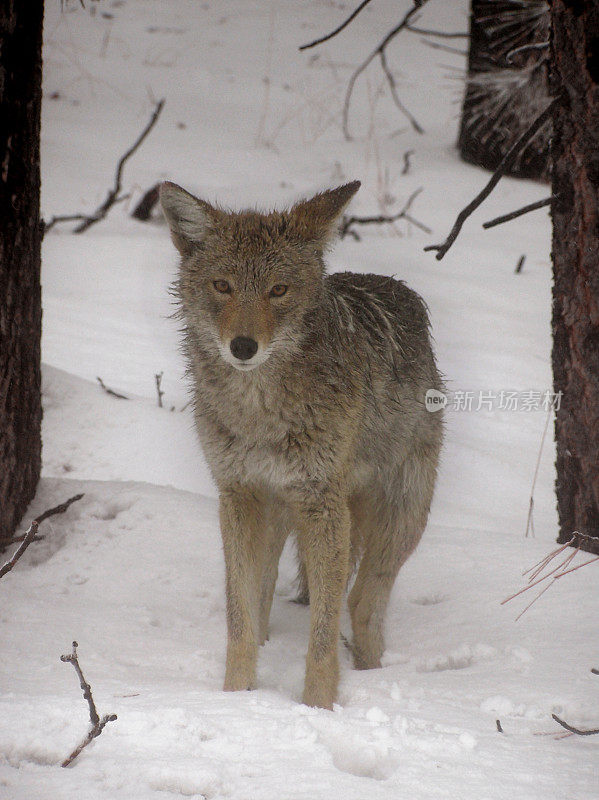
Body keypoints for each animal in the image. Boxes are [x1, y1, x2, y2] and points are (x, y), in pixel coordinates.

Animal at [162, 180, 442, 708]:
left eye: (278, 290)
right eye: (223, 286)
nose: (243, 347)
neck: (259, 413)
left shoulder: (322, 503)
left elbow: (322, 637)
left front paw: (317, 709)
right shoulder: (238, 496)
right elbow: (240, 620)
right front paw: (235, 699)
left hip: (401, 518)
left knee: (360, 602)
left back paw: (371, 672)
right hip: (277, 515)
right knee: (269, 594)